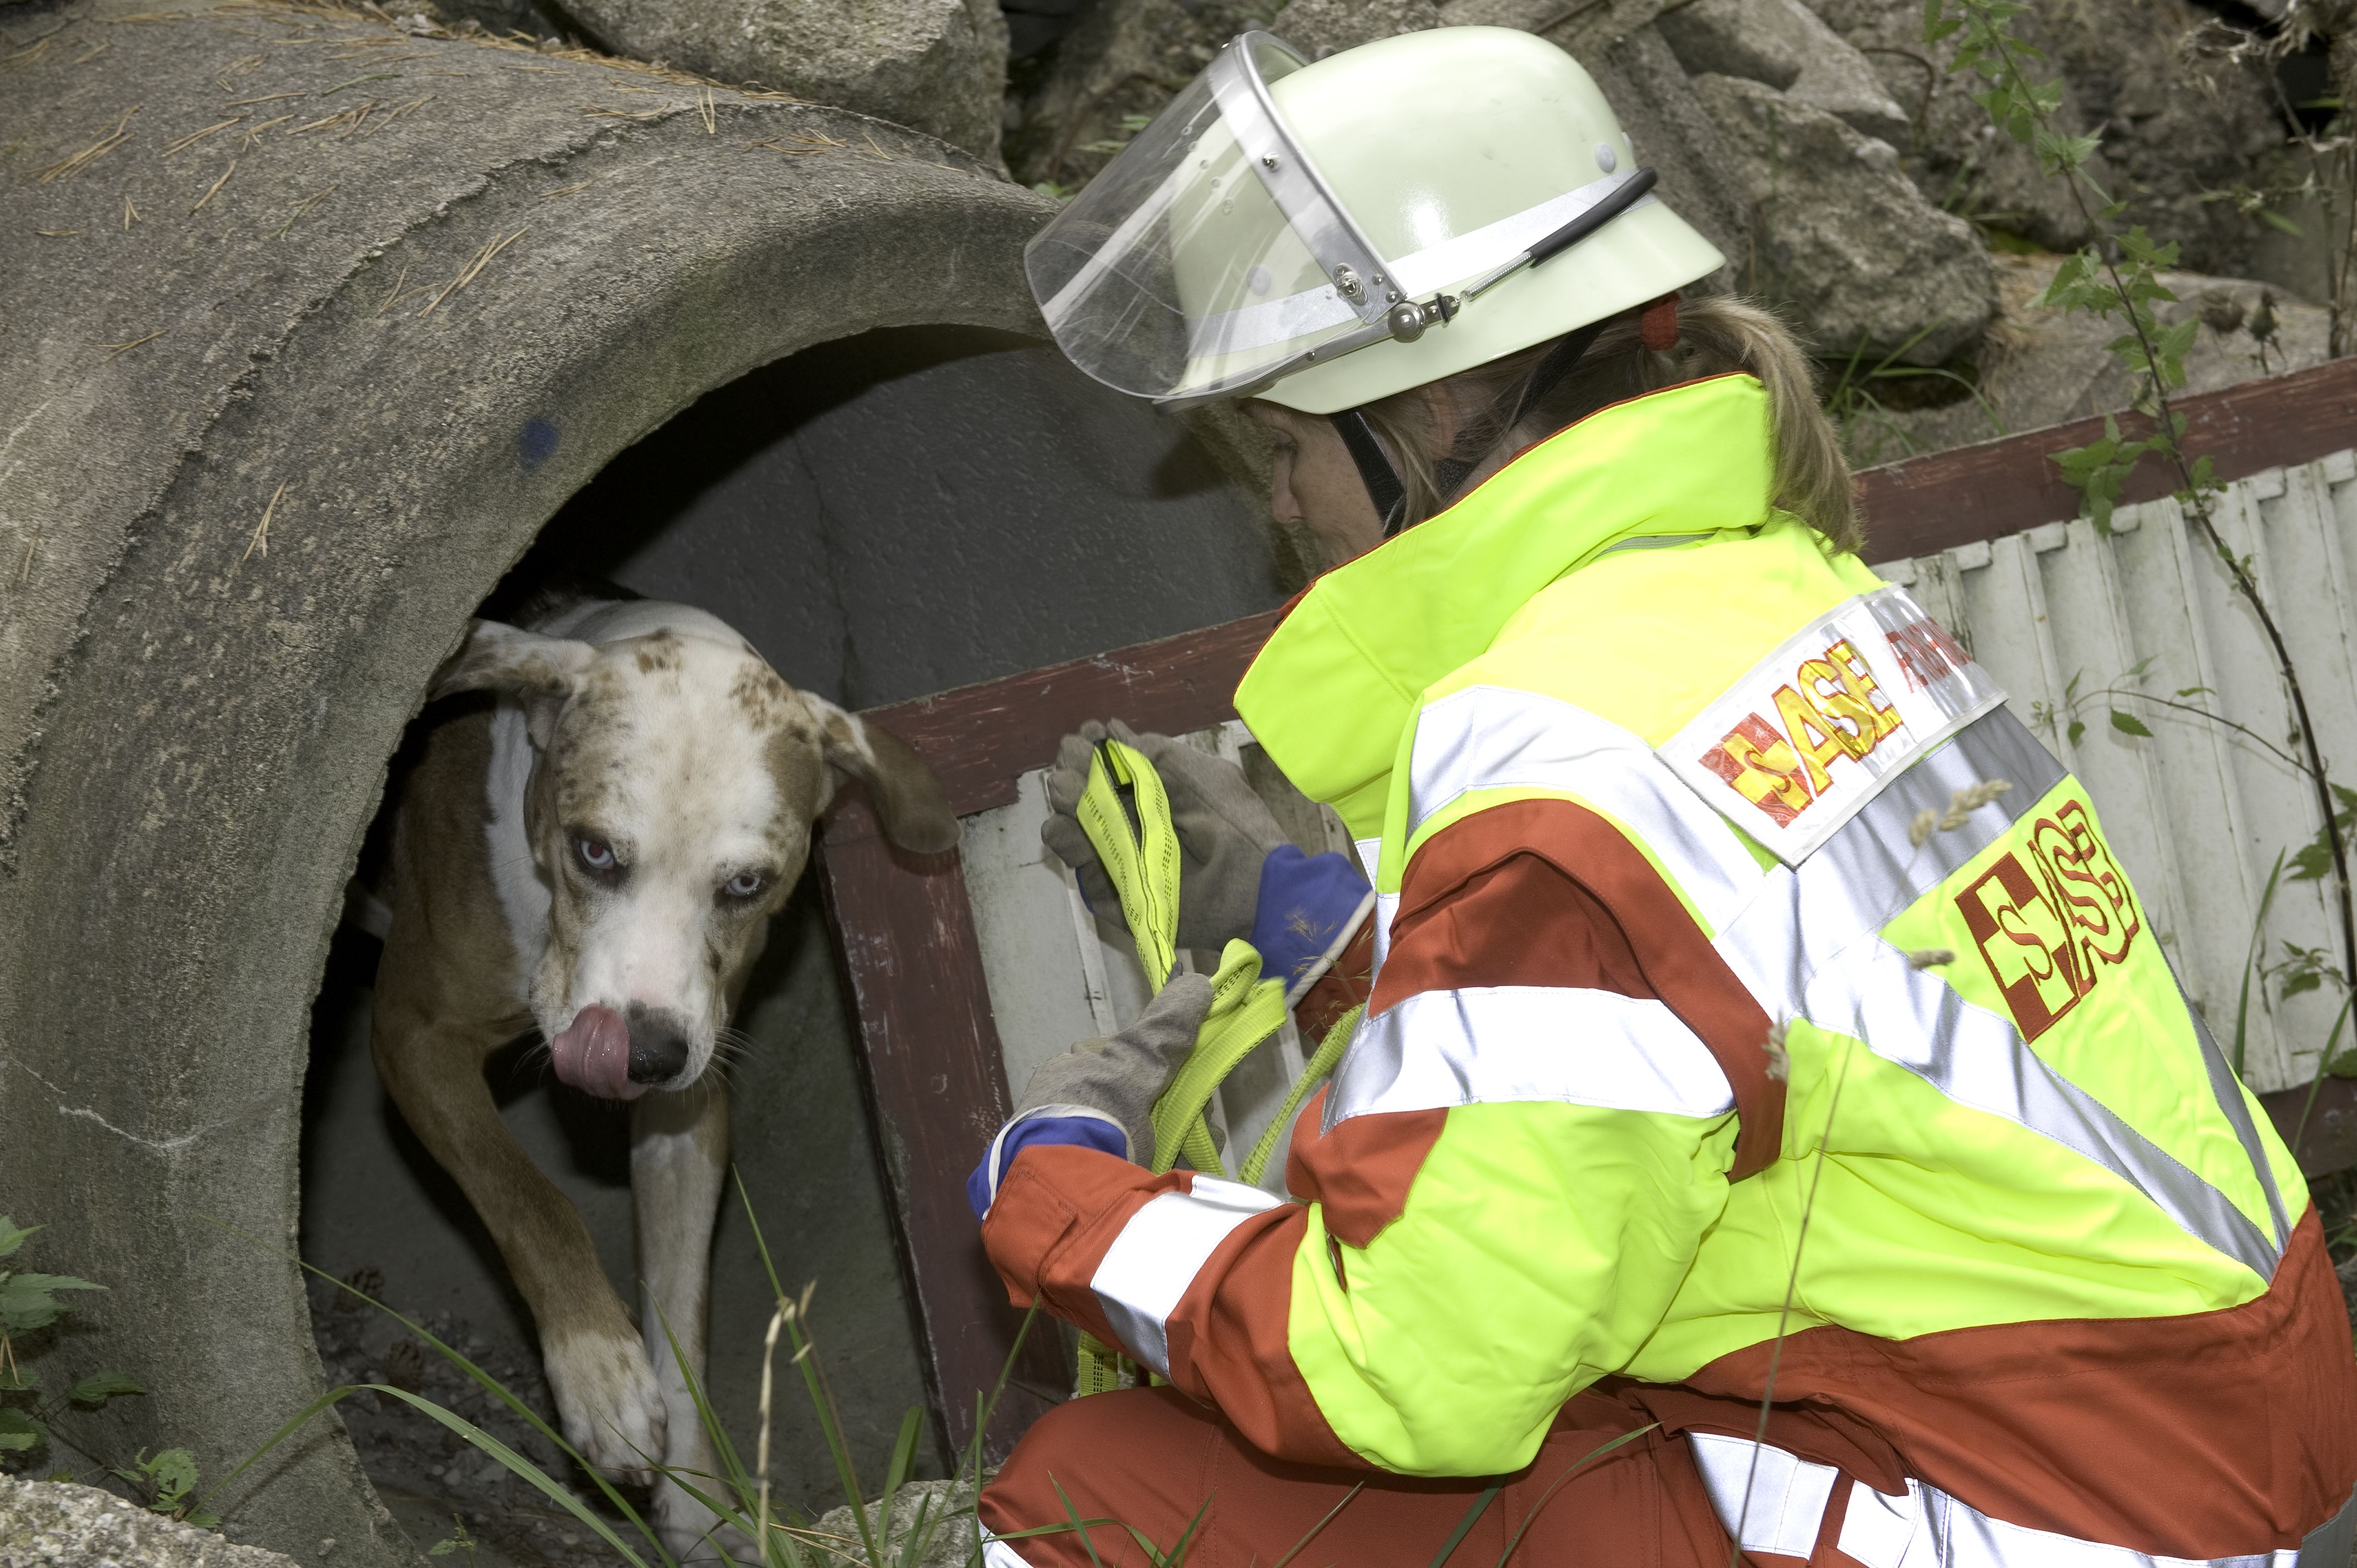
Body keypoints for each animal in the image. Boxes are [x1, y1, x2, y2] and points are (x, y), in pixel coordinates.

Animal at [372, 596, 952, 1556]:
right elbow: (532, 1199)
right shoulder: (414, 1041)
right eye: (595, 851)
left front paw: (699, 1505)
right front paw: (599, 1375)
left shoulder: (690, 1111)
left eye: (748, 883)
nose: (642, 1055)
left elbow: (682, 1318)